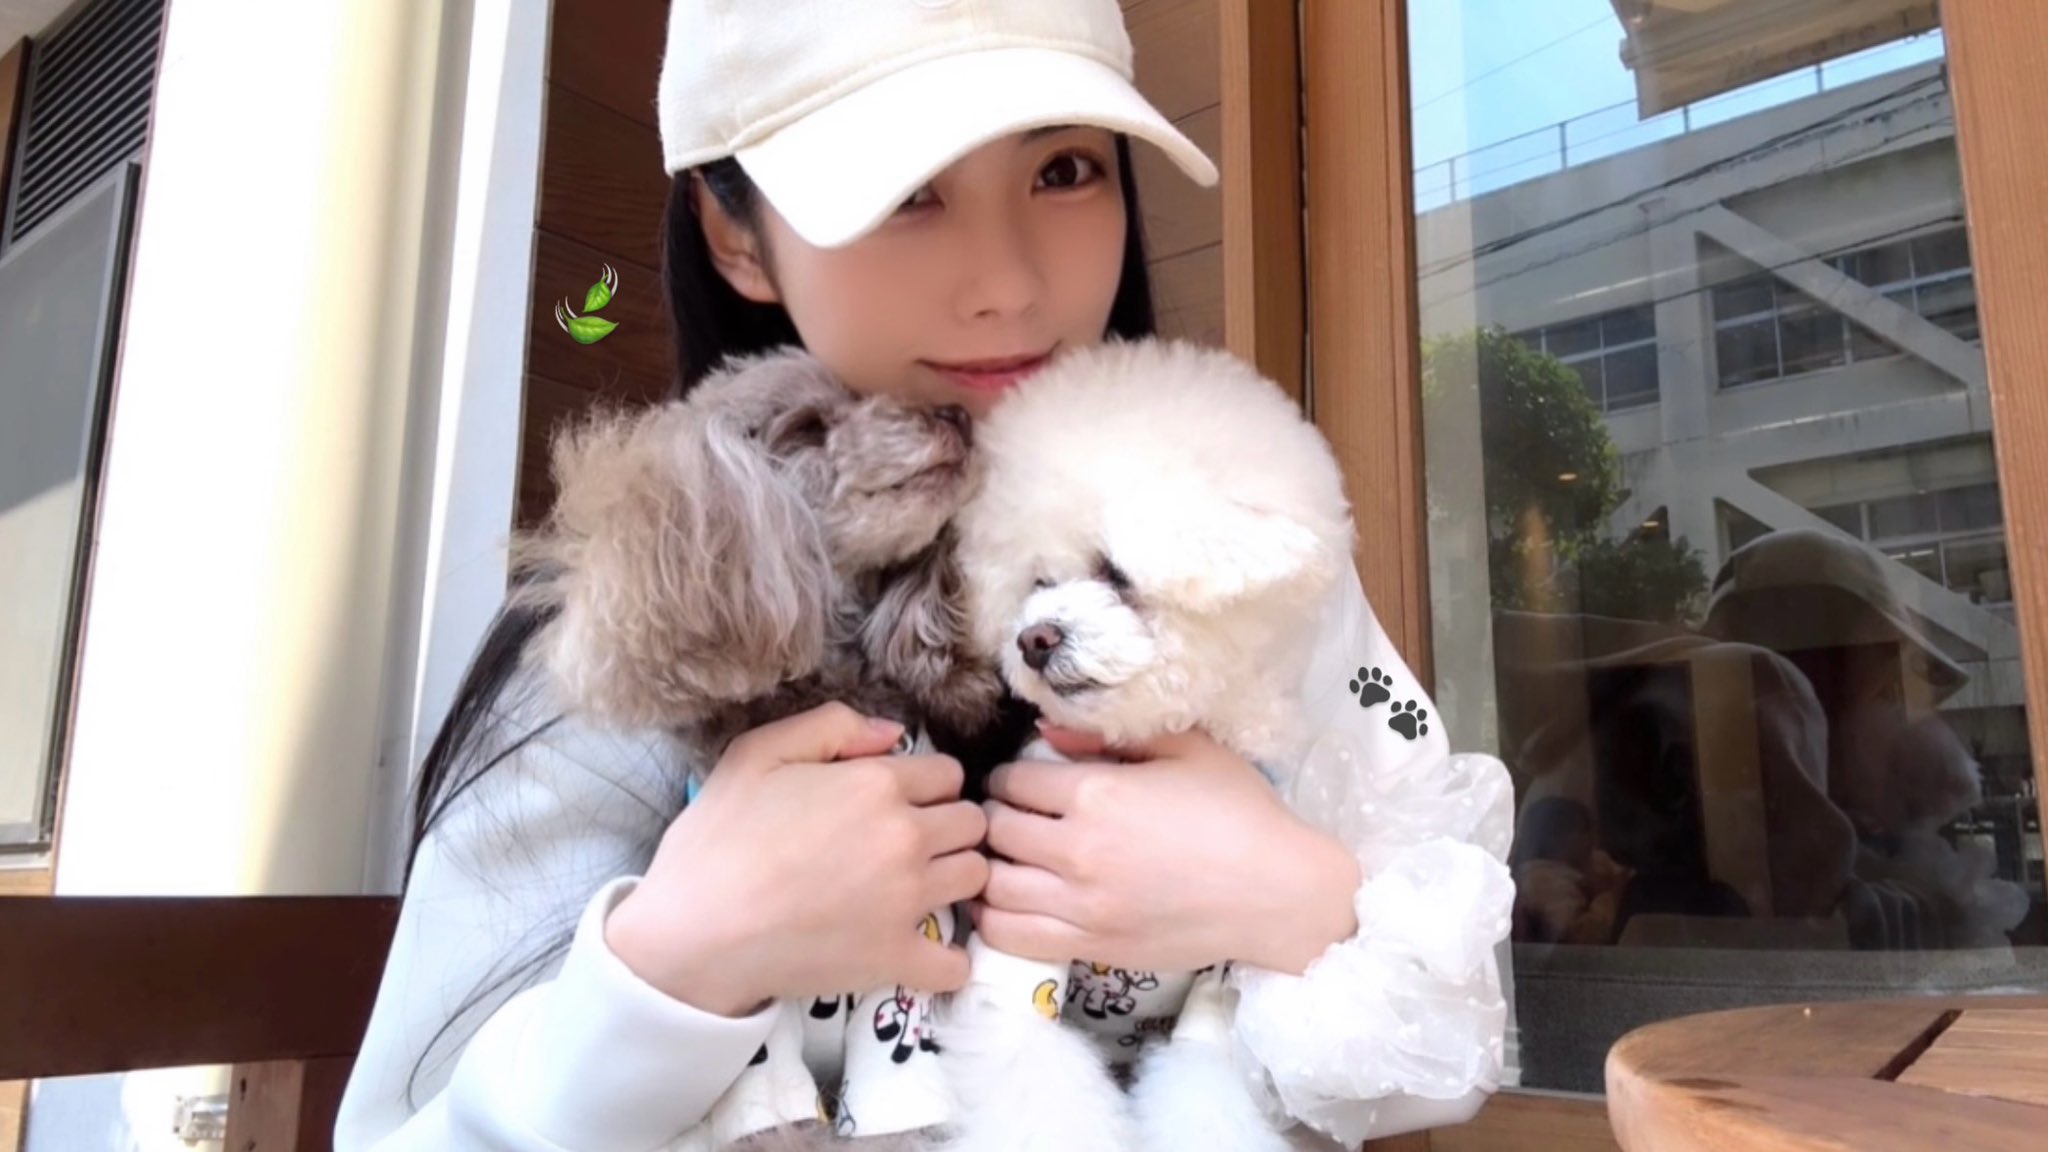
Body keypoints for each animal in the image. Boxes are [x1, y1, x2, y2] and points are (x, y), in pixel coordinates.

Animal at [944, 338, 1357, 1152]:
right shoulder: (1019, 967)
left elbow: (1205, 1093)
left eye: (1114, 571)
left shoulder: (1218, 987)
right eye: (1037, 583)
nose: (1033, 639)